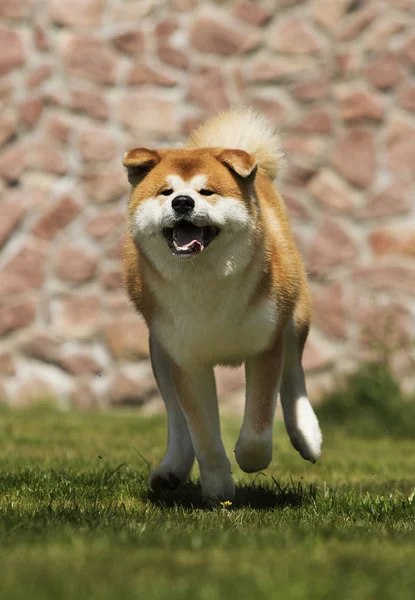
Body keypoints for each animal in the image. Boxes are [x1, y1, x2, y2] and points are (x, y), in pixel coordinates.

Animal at [122, 108, 324, 502]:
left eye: (206, 192)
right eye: (166, 192)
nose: (182, 202)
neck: (206, 281)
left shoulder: (265, 345)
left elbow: (258, 426)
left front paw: (249, 459)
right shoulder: (188, 360)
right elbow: (203, 434)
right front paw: (218, 488)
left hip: (295, 314)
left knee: (294, 371)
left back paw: (306, 434)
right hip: (160, 348)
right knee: (176, 415)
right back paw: (172, 468)